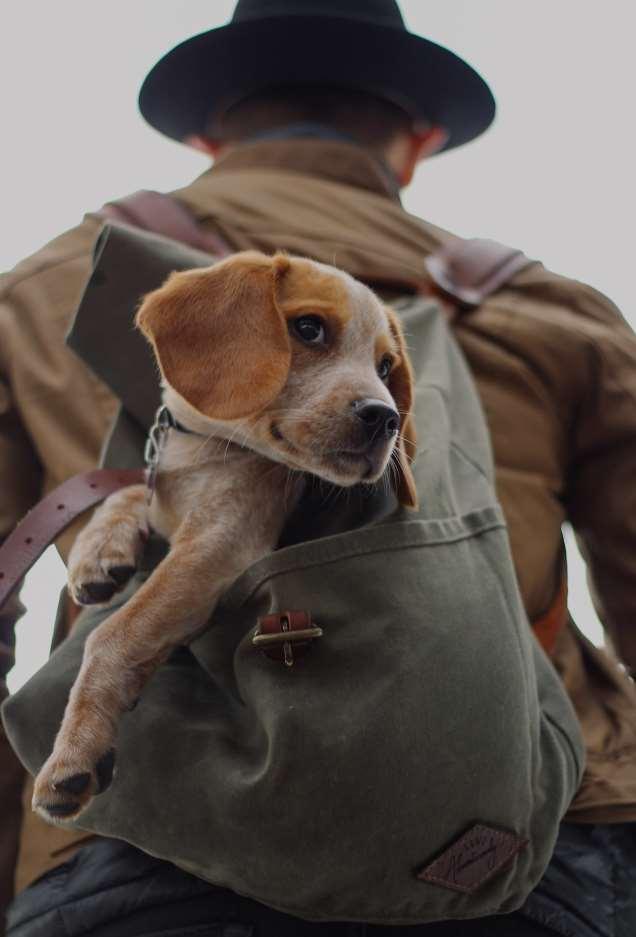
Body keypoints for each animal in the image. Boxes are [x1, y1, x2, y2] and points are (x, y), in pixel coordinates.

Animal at [33, 249, 418, 820]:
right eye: (308, 328)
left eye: (386, 367)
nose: (386, 418)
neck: (203, 449)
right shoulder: (169, 503)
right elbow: (130, 491)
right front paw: (99, 550)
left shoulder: (219, 544)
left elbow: (114, 635)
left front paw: (76, 747)